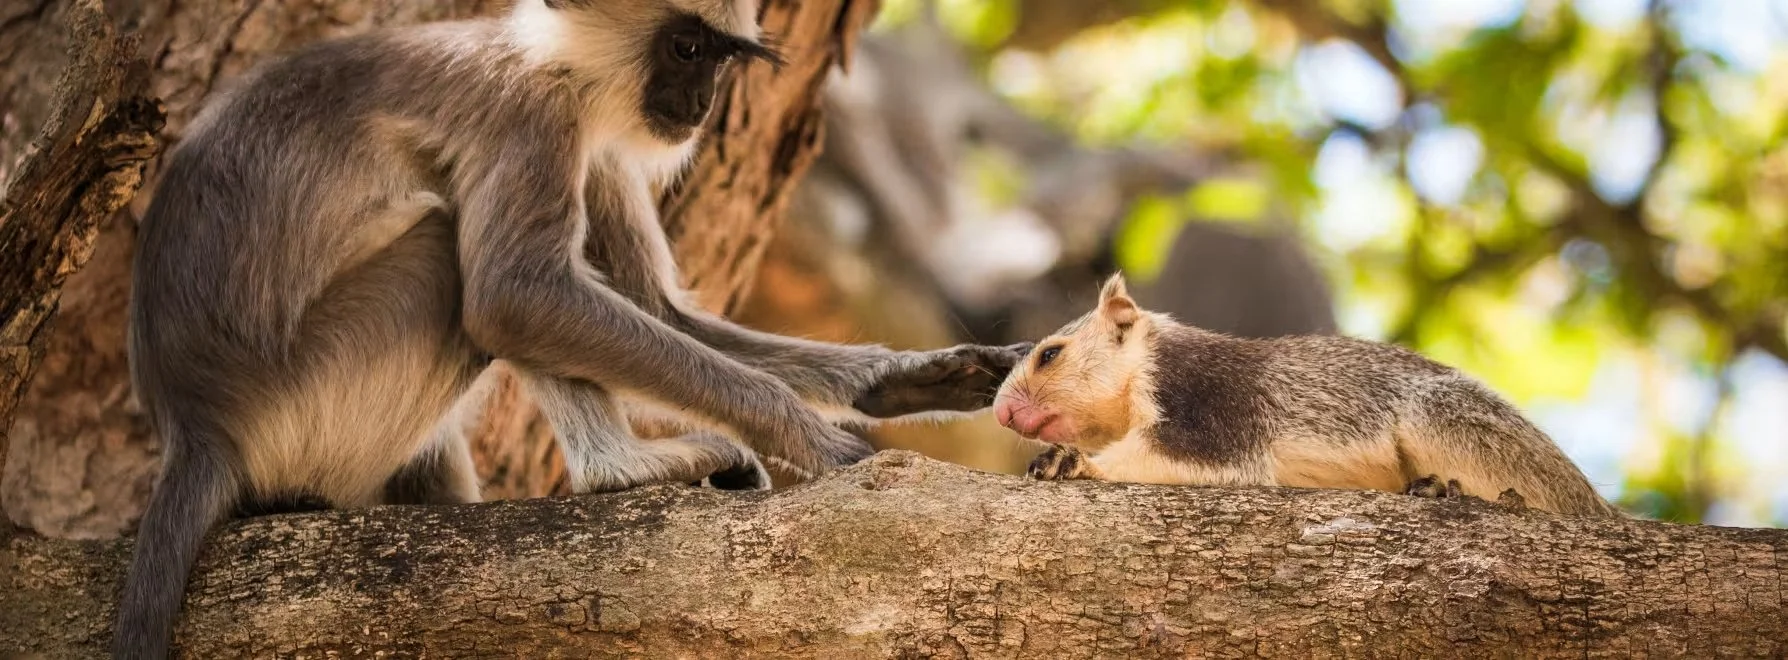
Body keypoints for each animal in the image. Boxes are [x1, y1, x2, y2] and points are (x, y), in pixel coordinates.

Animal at [991, 273, 1622, 517]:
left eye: (1050, 354)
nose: (1001, 411)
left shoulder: (1211, 400)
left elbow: (1195, 457)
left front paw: (1075, 463)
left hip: (1447, 419)